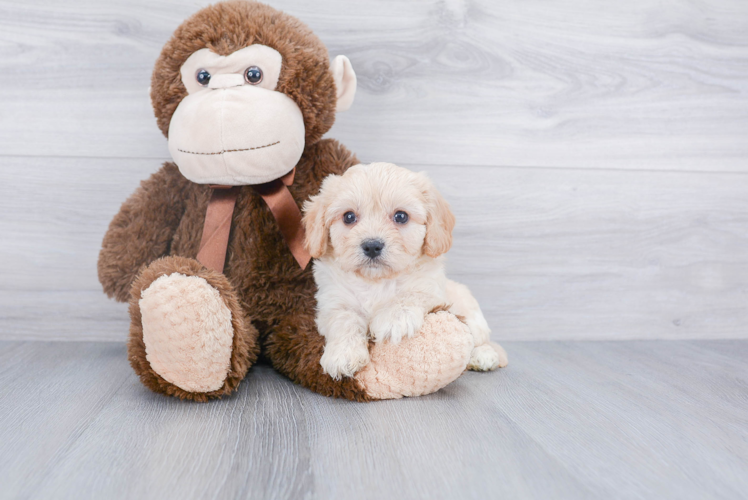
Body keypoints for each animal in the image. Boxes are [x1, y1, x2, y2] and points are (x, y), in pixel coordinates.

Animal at [300, 163, 506, 378]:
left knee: (479, 338)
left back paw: (483, 356)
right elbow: (344, 320)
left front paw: (394, 319)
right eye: (348, 217)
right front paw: (342, 354)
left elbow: (410, 295)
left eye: (401, 216)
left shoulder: (431, 289)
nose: (372, 246)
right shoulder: (333, 302)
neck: (376, 281)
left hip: (471, 313)